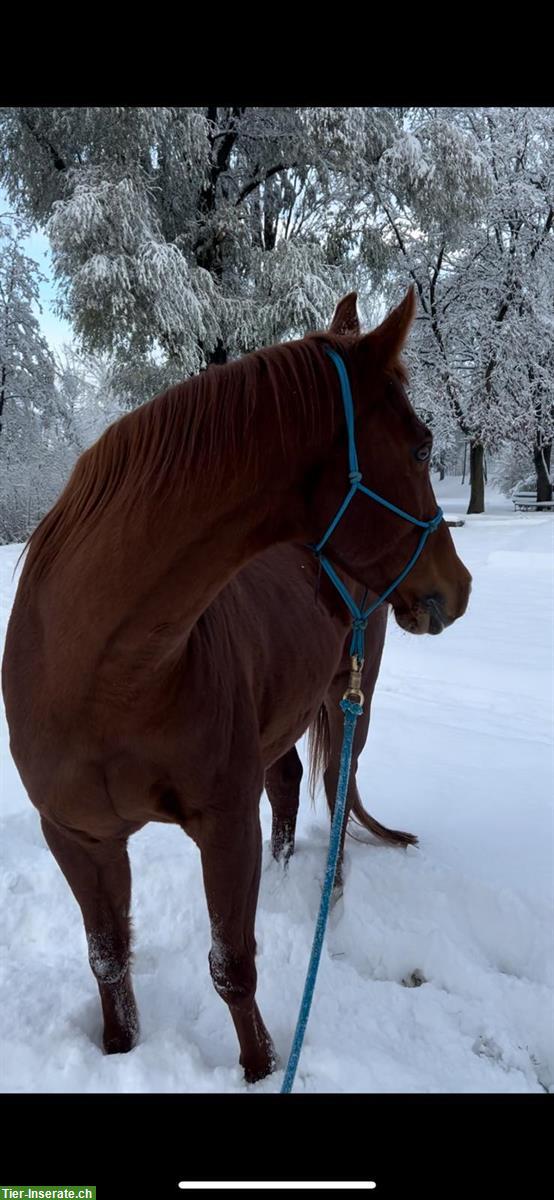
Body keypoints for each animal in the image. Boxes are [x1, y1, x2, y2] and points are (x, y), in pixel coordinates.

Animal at [2, 285, 470, 1084]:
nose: (459, 587)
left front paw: (263, 1068)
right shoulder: (78, 836)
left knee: (336, 789)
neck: (103, 676)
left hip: (352, 696)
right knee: (285, 785)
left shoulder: (223, 823)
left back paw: (324, 891)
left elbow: (232, 965)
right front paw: (120, 1050)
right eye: (420, 446)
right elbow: (107, 958)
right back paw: (283, 878)